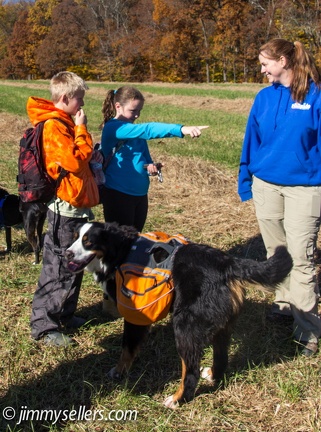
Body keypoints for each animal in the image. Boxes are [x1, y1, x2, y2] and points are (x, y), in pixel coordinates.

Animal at [65, 223, 292, 408]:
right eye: (75, 237)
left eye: (88, 241)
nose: (66, 254)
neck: (121, 249)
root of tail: (226, 263)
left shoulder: (134, 311)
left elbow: (127, 348)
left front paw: (119, 372)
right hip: (222, 326)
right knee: (221, 356)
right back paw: (212, 375)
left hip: (185, 326)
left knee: (190, 371)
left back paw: (177, 399)